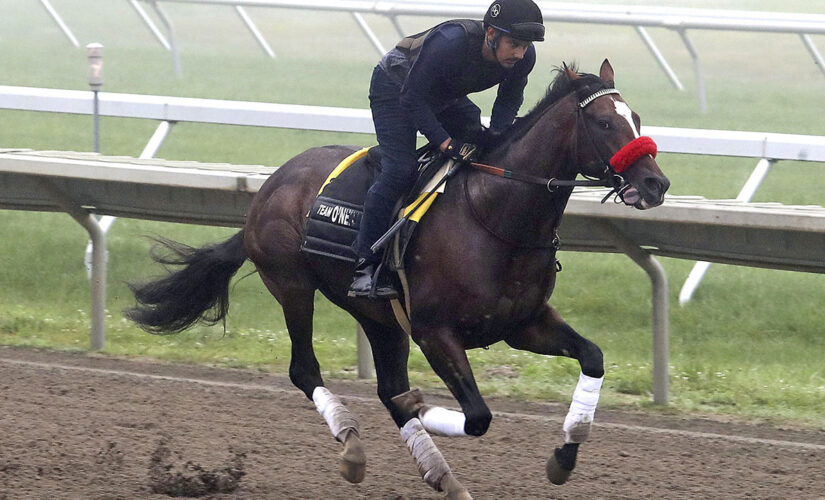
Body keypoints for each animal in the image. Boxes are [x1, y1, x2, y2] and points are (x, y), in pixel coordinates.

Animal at [129, 60, 668, 498]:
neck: (496, 216)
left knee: (387, 386)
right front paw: (423, 407)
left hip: (378, 317)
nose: (655, 183)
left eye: (637, 119)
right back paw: (353, 448)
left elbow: (593, 357)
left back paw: (443, 478)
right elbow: (477, 415)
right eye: (604, 122)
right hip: (292, 286)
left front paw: (563, 458)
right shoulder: (434, 330)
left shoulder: (523, 324)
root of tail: (270, 186)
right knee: (306, 370)